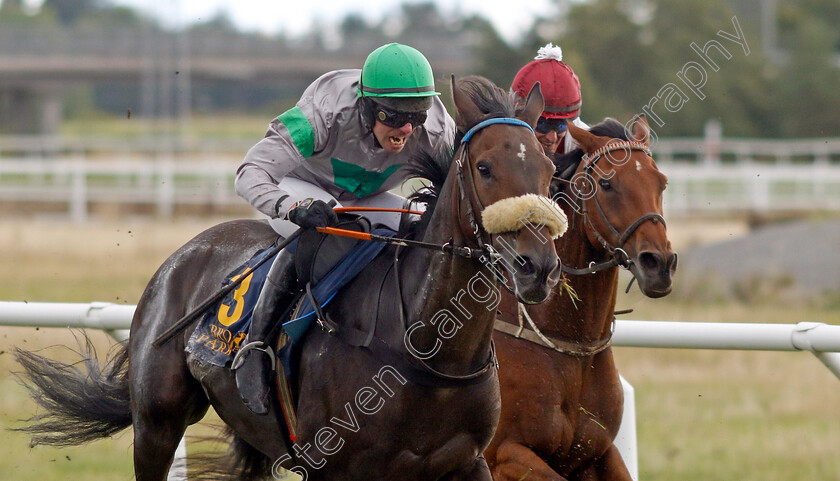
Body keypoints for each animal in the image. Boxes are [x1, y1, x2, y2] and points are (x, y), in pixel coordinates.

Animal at [14, 75, 564, 480]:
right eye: (485, 167)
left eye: (548, 166)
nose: (537, 266)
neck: (427, 350)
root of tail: (183, 255)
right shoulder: (332, 465)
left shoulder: (466, 463)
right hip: (157, 423)